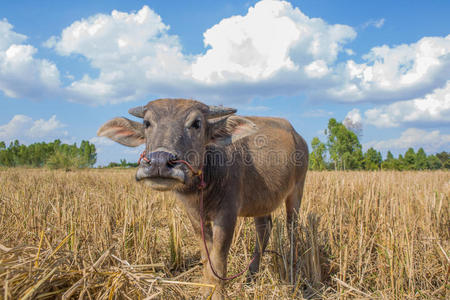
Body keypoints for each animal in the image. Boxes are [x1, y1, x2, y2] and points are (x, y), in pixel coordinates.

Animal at [97, 98, 310, 298]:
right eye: (147, 123)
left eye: (196, 123)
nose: (159, 162)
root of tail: (299, 138)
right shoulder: (194, 215)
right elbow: (207, 256)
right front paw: (205, 290)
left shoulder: (227, 214)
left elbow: (218, 258)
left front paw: (218, 293)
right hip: (262, 202)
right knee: (263, 230)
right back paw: (251, 275)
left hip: (297, 190)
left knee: (292, 228)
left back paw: (293, 270)